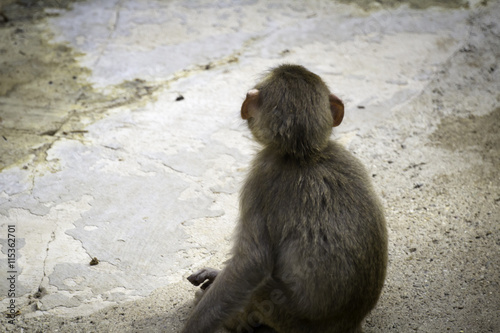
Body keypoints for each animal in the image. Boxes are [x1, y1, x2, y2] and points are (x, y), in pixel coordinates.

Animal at [182, 63, 388, 330]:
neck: (302, 154)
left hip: (284, 314)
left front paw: (194, 326)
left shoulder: (259, 179)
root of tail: (348, 324)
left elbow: (251, 264)